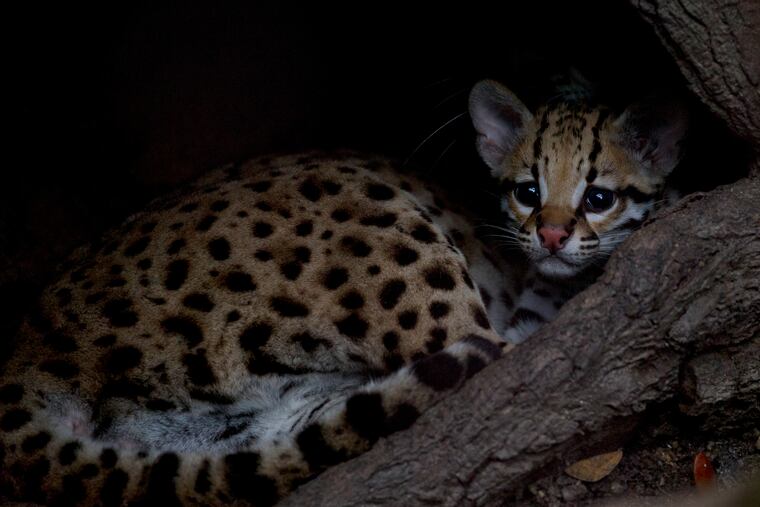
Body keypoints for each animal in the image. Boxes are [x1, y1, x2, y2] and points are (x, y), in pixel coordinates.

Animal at [0, 79, 687, 506]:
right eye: (527, 191)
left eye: (598, 196)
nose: (550, 234)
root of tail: (27, 357)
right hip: (381, 225)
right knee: (492, 353)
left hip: (259, 422)